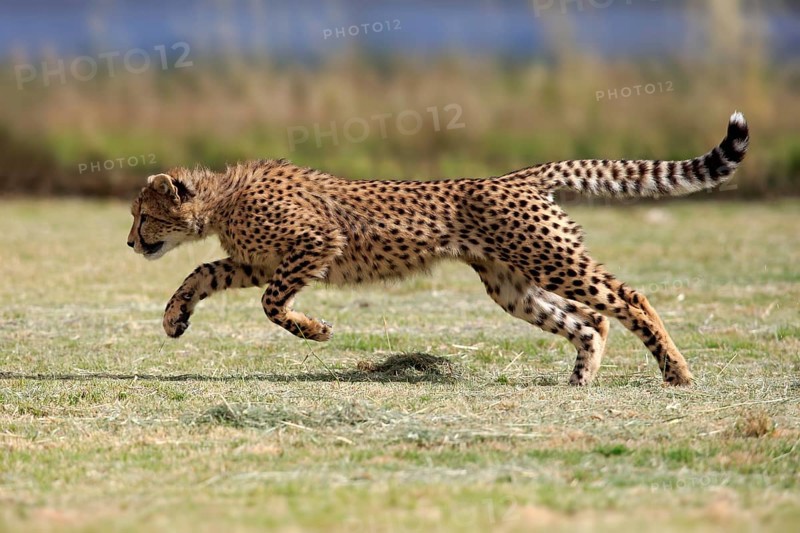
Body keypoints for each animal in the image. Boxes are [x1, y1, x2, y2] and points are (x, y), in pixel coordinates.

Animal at [127, 112, 749, 386]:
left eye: (142, 214)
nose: (131, 242)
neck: (221, 199)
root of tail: (516, 176)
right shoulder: (255, 262)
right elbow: (201, 273)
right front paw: (174, 318)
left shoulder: (314, 243)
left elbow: (271, 304)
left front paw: (314, 330)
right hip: (510, 284)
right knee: (590, 319)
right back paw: (580, 379)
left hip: (550, 258)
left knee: (628, 299)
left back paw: (676, 370)